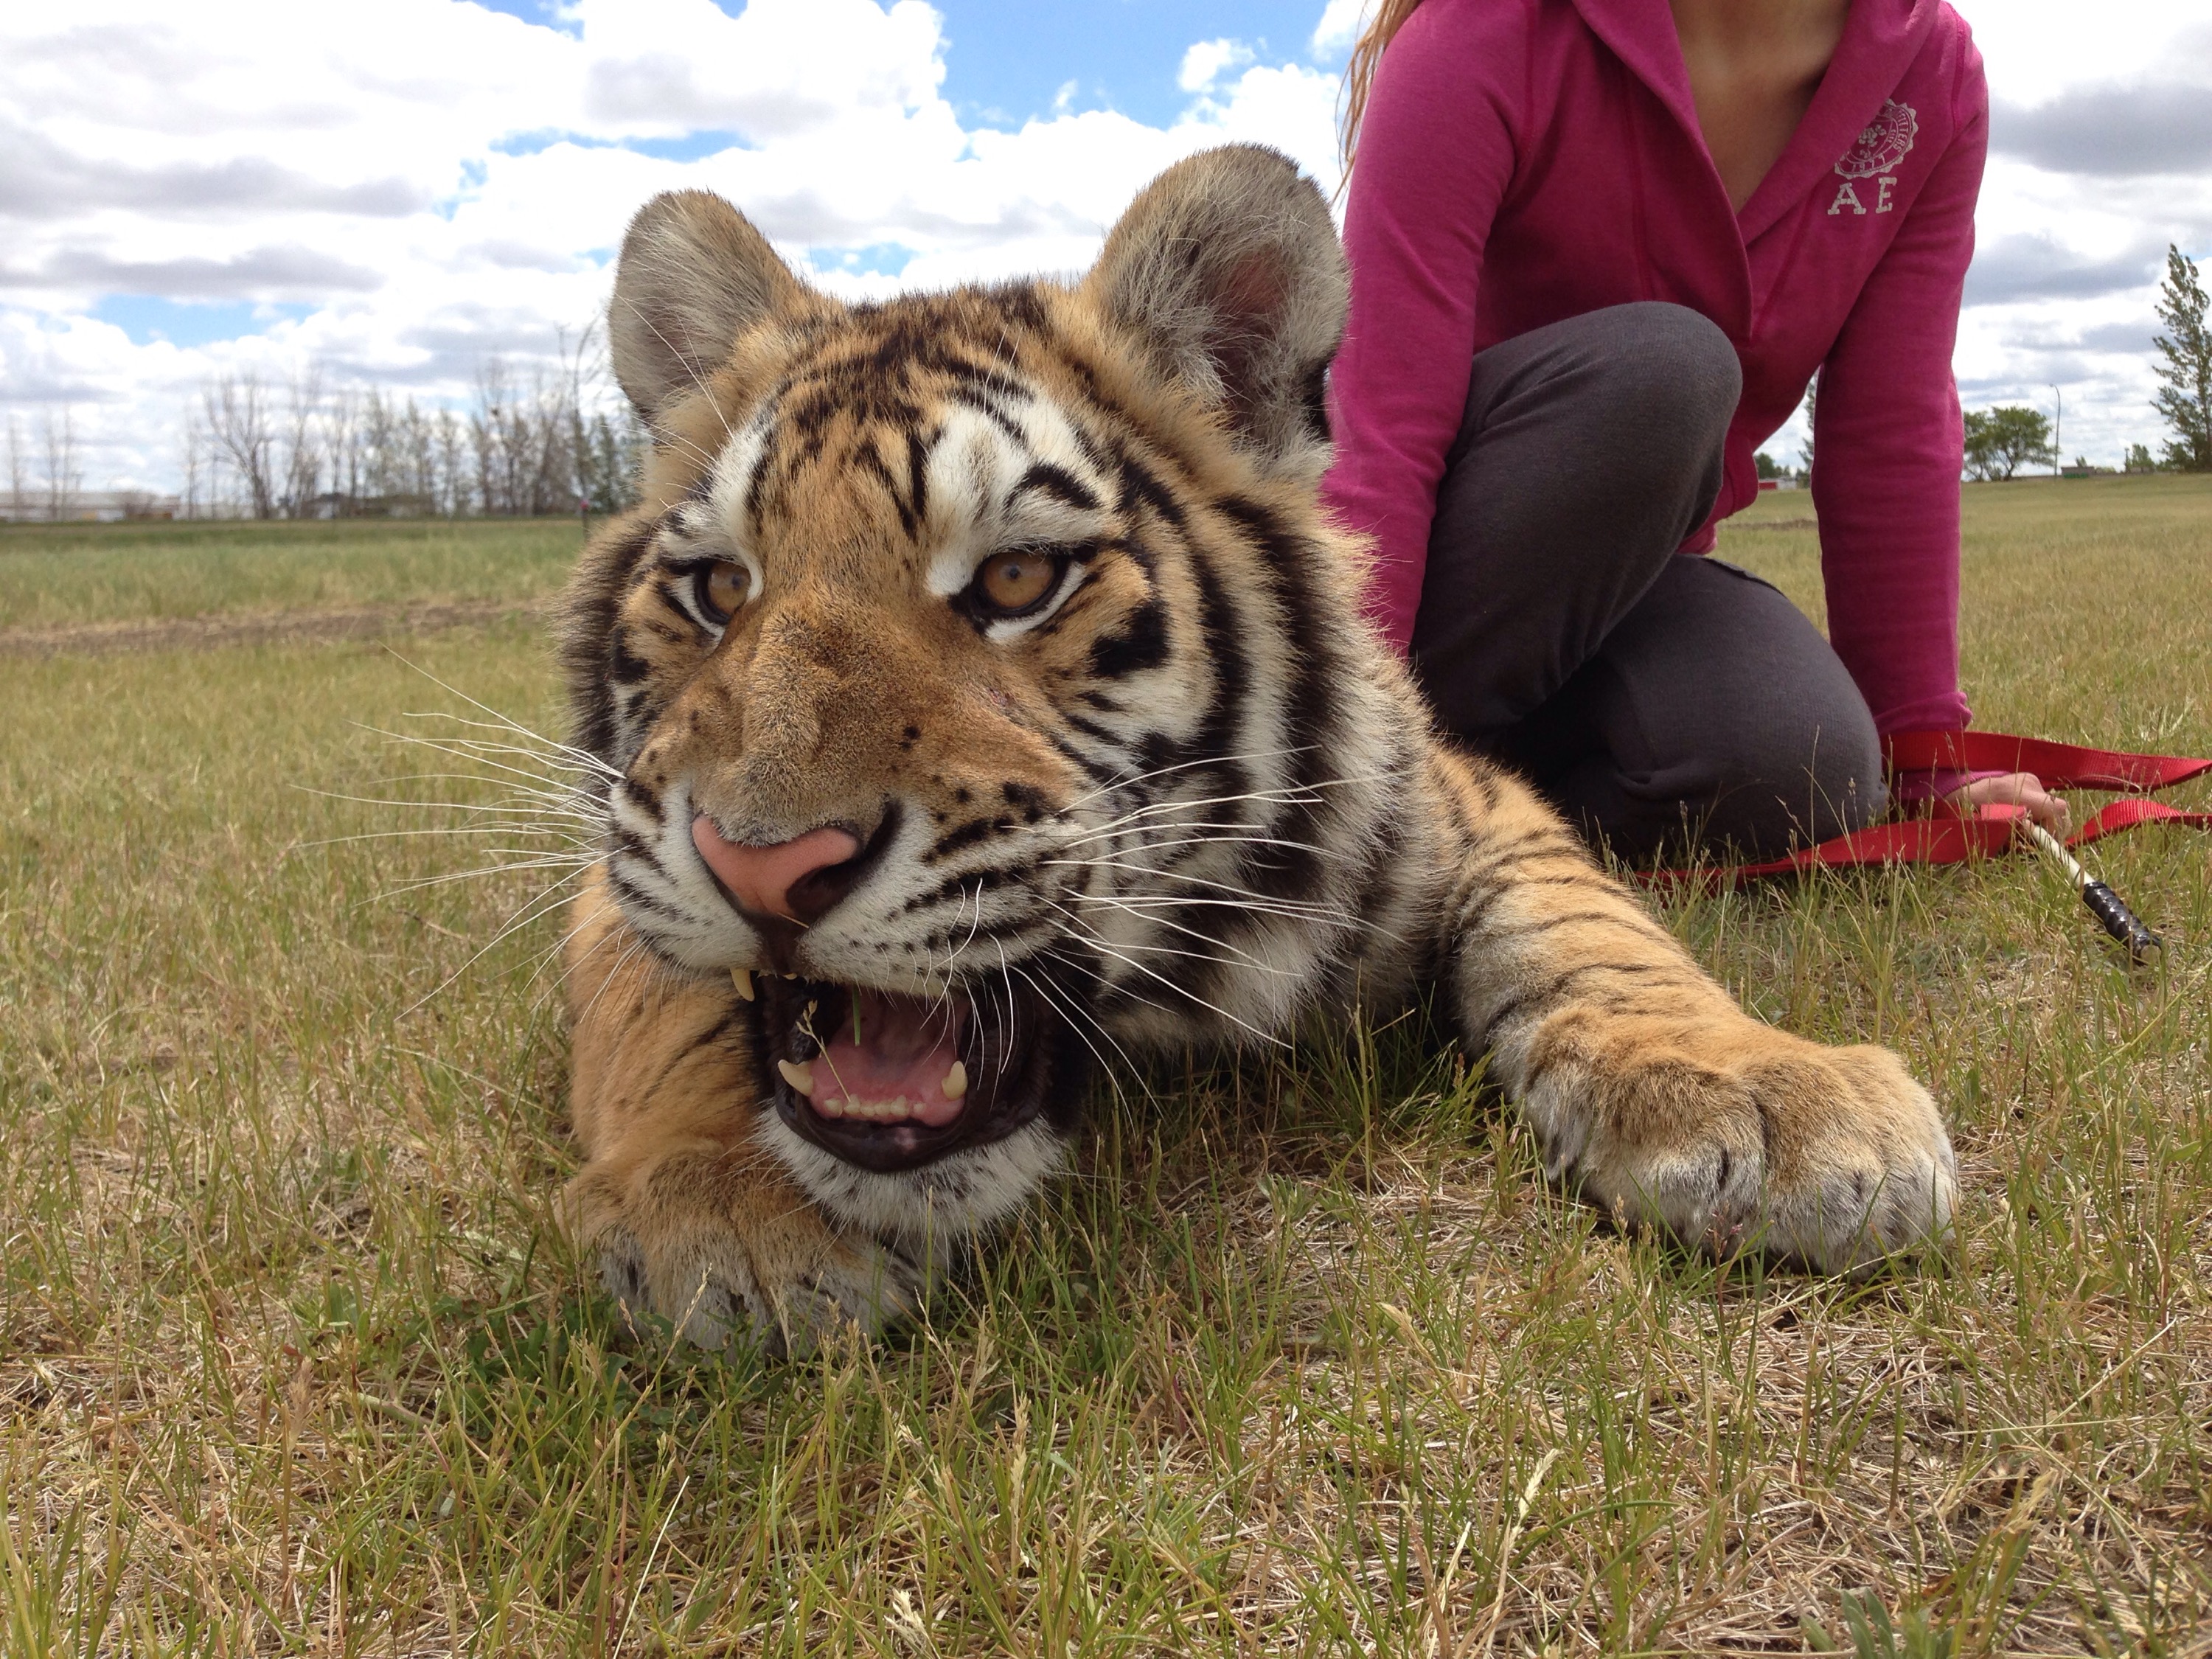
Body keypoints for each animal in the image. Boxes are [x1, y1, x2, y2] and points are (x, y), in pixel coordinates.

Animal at [554, 144, 1957, 1353]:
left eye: (1015, 578)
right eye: (719, 591)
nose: (762, 867)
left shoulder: (1469, 802)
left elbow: (1594, 929)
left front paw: (1774, 1101)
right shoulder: (621, 848)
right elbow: (662, 998)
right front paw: (730, 1202)